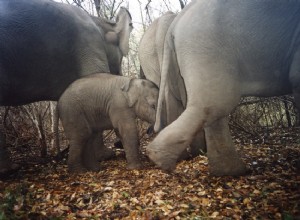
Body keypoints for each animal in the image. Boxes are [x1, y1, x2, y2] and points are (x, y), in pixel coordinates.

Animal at [146, 0, 300, 176]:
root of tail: (177, 20)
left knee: (211, 107)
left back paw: (229, 172)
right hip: (206, 47)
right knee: (216, 103)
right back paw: (160, 160)